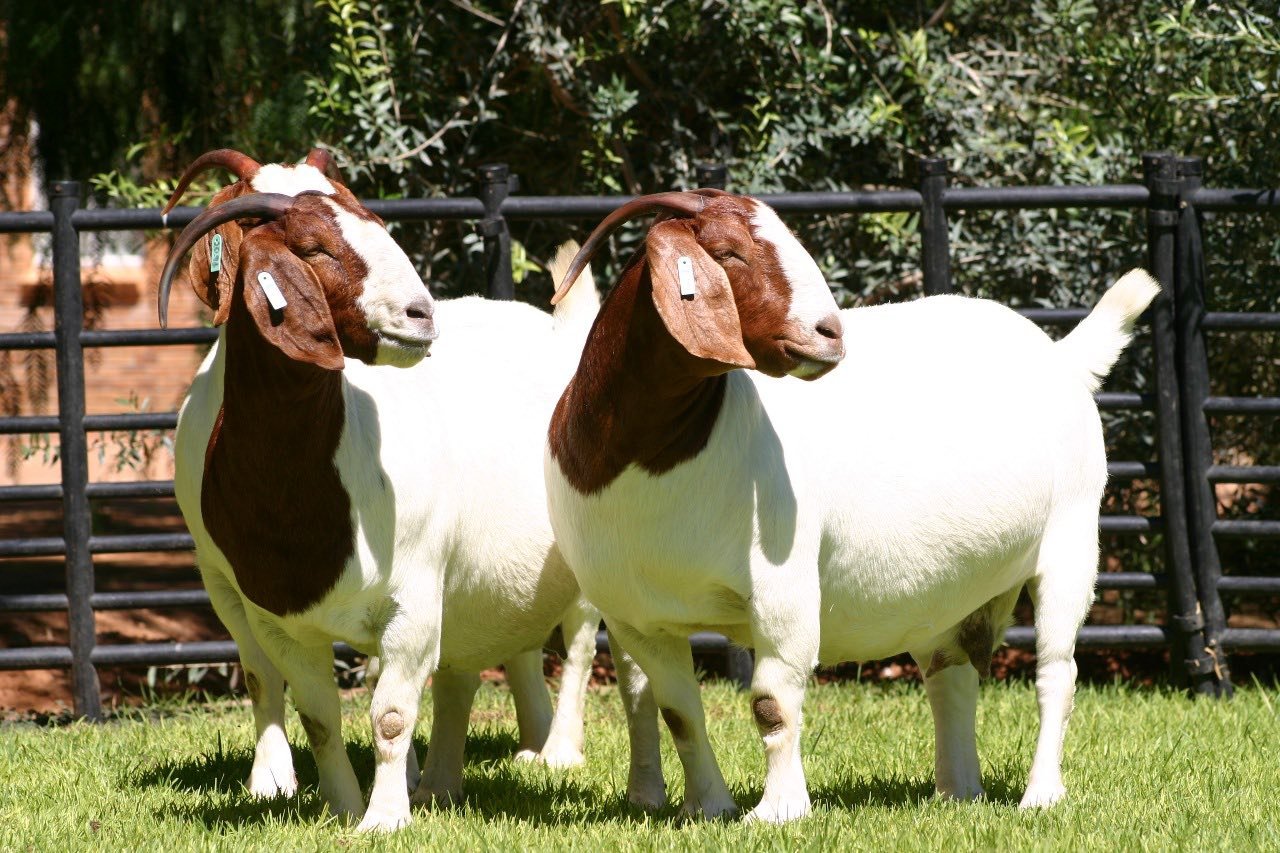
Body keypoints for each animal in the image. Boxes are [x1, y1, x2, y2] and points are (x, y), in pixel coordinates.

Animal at [160, 149, 602, 831]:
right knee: (488, 656)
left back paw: (556, 752)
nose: (422, 314)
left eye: (374, 221)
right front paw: (333, 804)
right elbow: (311, 710)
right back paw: (464, 773)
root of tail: (561, 331)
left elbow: (391, 715)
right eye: (312, 247)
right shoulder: (263, 606)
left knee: (576, 643)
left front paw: (384, 819)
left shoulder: (414, 595)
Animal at [543, 190, 1159, 822]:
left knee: (1056, 672)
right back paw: (957, 791)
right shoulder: (635, 616)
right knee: (952, 673)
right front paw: (709, 808)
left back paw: (1040, 796)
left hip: (1072, 541)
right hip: (950, 588)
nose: (829, 332)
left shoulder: (783, 589)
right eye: (728, 251)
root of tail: (1063, 357)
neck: (651, 457)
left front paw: (779, 811)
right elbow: (680, 713)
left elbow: (772, 702)